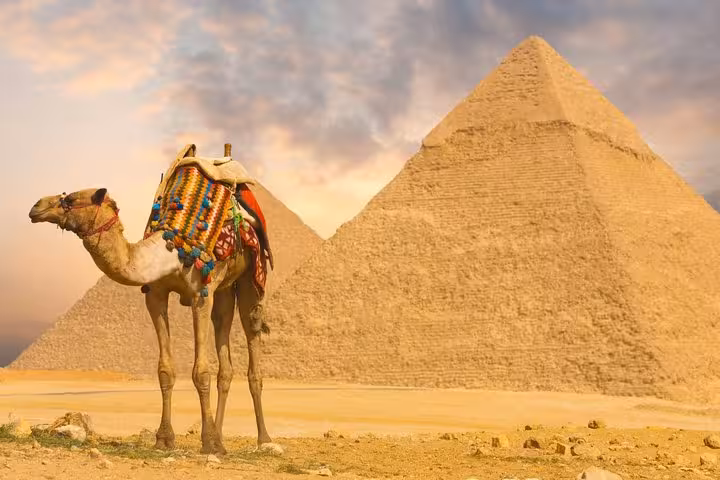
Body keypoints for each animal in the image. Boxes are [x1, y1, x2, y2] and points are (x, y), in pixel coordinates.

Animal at [27, 144, 274, 455]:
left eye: (70, 198)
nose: (36, 206)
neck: (171, 249)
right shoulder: (156, 295)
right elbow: (165, 370)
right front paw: (165, 439)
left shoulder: (200, 295)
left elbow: (201, 371)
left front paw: (207, 442)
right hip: (224, 290)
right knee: (225, 355)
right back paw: (221, 437)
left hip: (251, 277)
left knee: (252, 340)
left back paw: (263, 439)